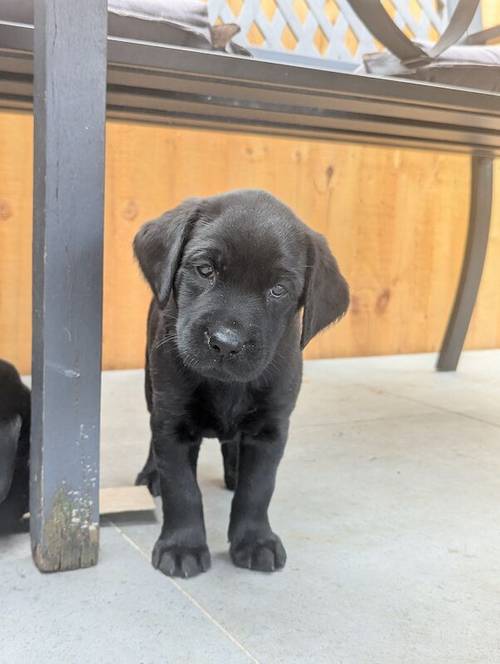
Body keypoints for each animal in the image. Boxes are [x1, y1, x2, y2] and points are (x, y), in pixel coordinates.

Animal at [135, 188, 350, 576]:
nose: (225, 342)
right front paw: (182, 547)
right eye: (205, 270)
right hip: (151, 385)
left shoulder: (270, 429)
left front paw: (254, 540)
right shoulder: (172, 422)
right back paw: (151, 474)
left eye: (279, 289)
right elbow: (182, 489)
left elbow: (257, 488)